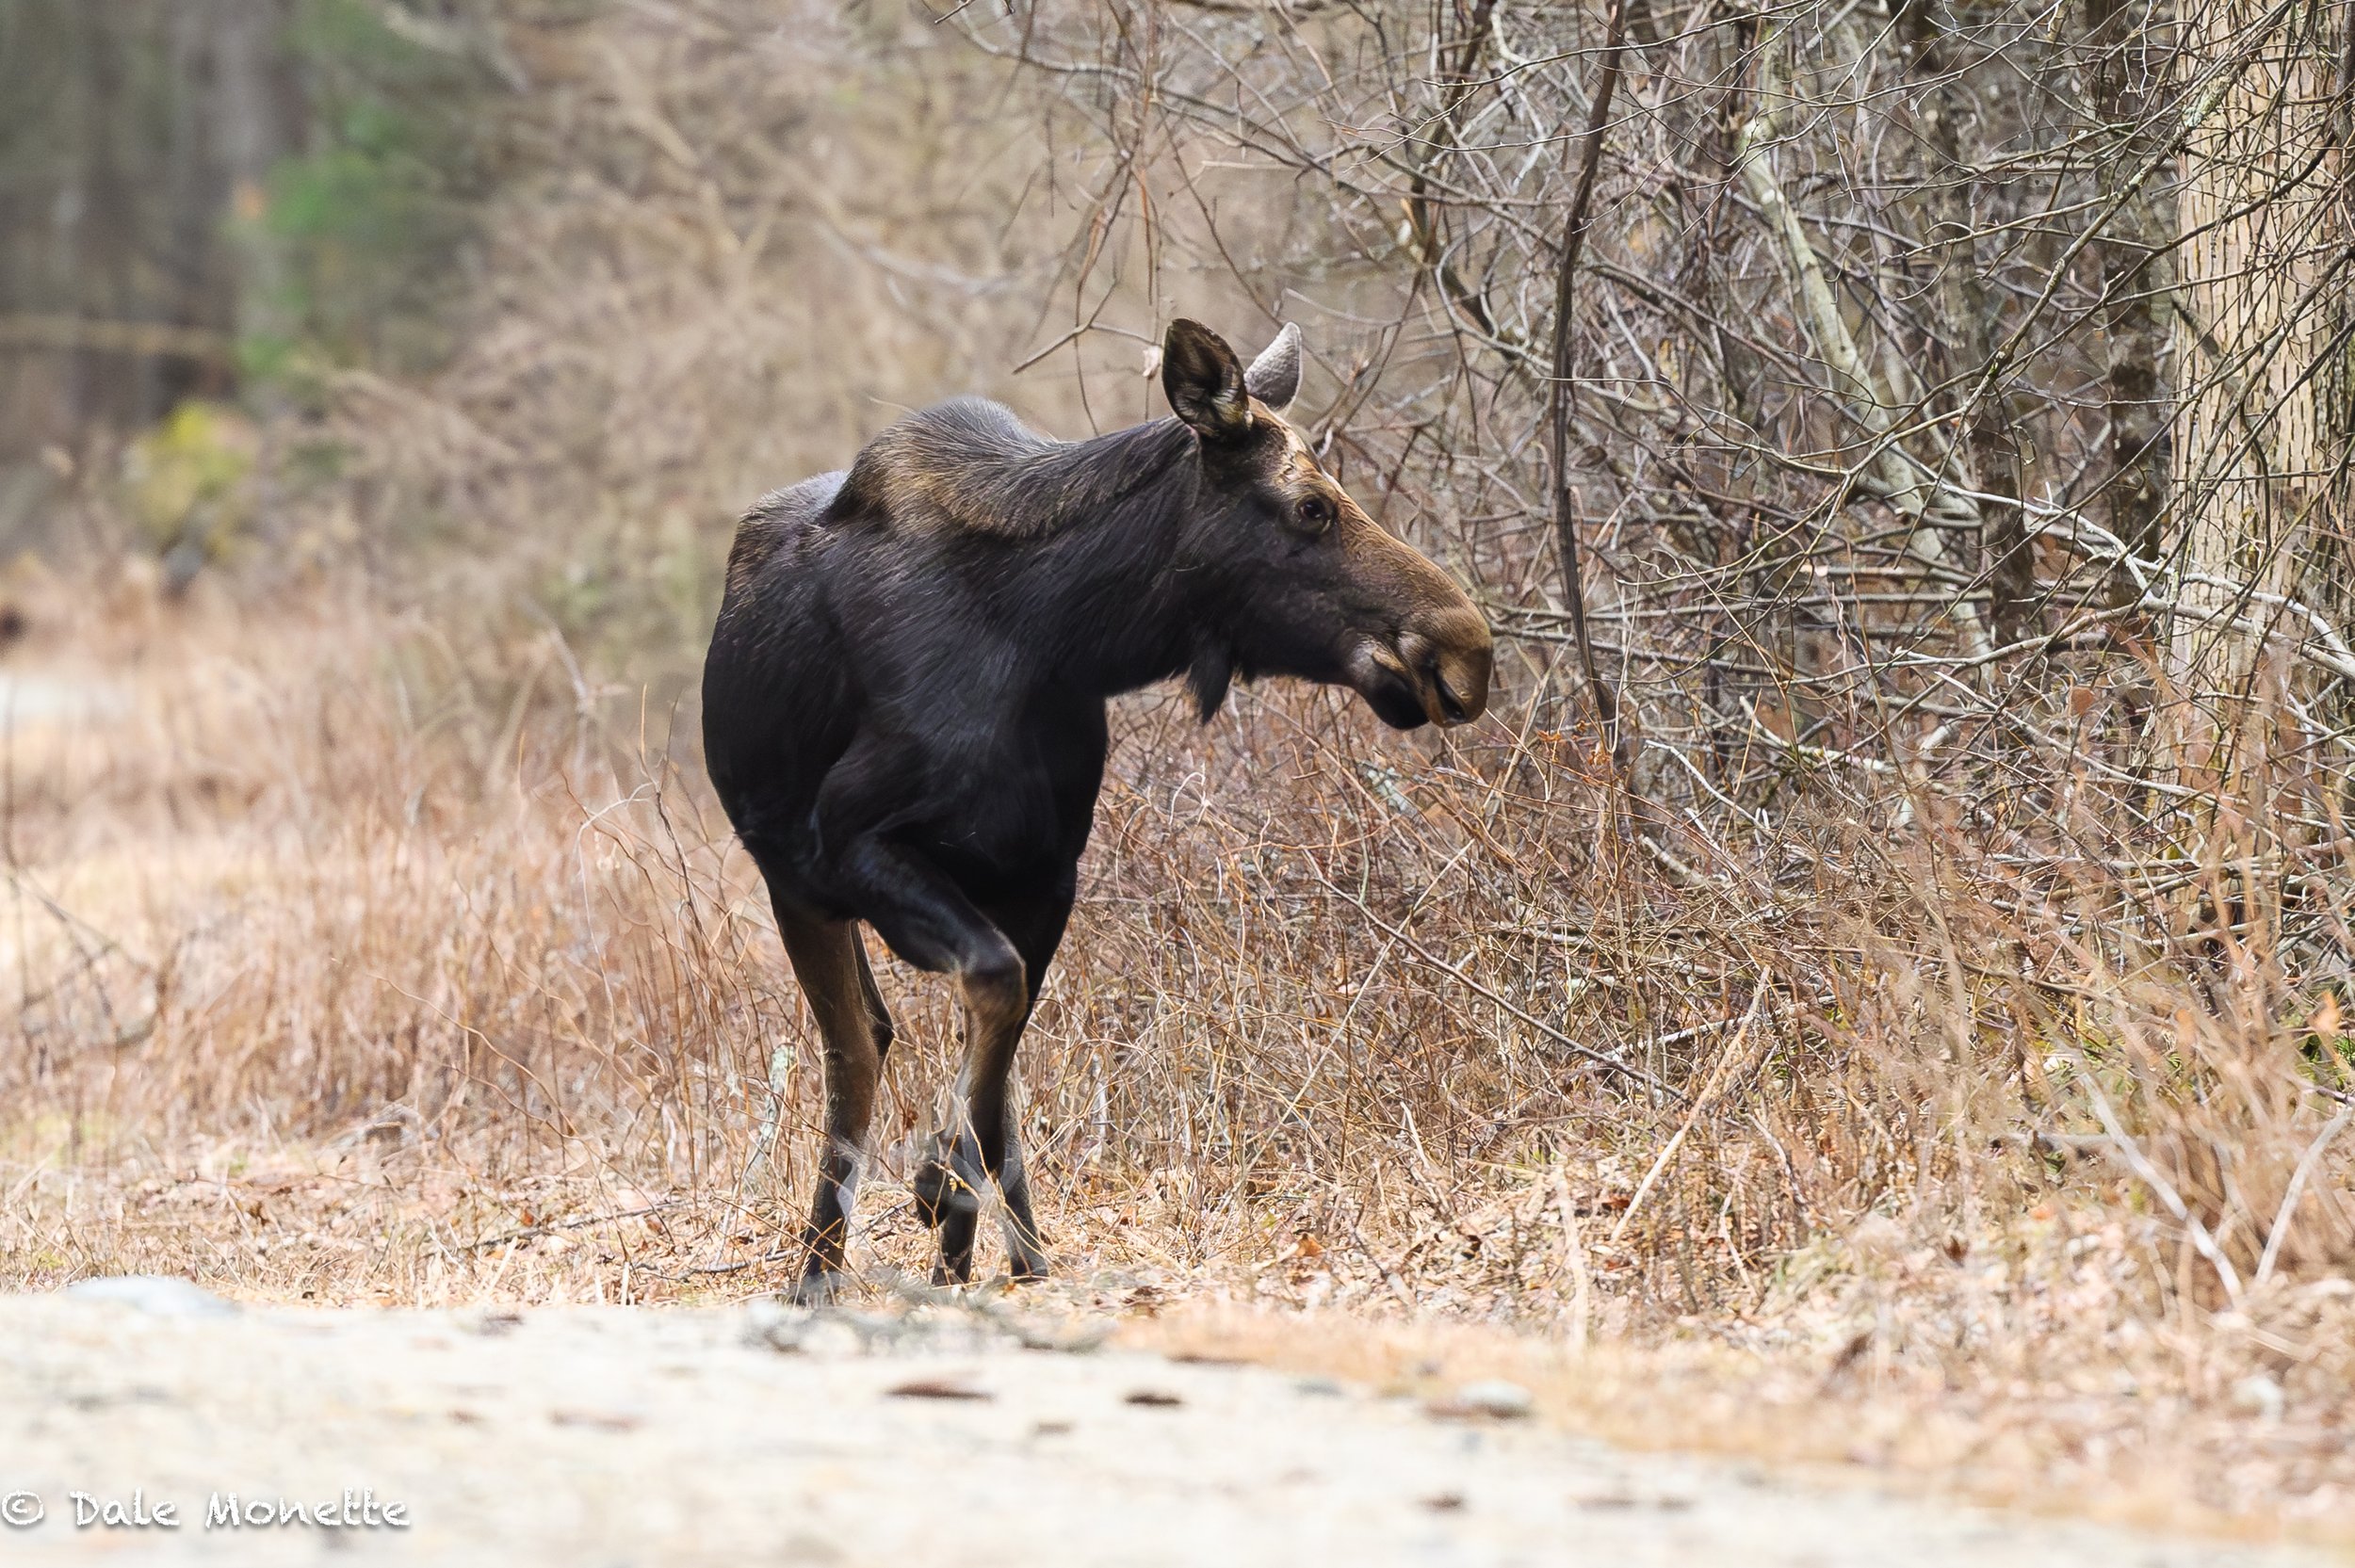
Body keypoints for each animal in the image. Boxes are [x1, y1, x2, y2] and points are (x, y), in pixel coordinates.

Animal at [697, 315, 1498, 1290]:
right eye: (1312, 506)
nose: (1469, 648)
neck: (1057, 635)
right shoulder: (851, 841)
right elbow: (987, 995)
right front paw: (936, 1182)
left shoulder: (1047, 871)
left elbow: (1001, 1045)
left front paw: (972, 1214)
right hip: (793, 878)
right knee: (856, 1044)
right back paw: (819, 1267)